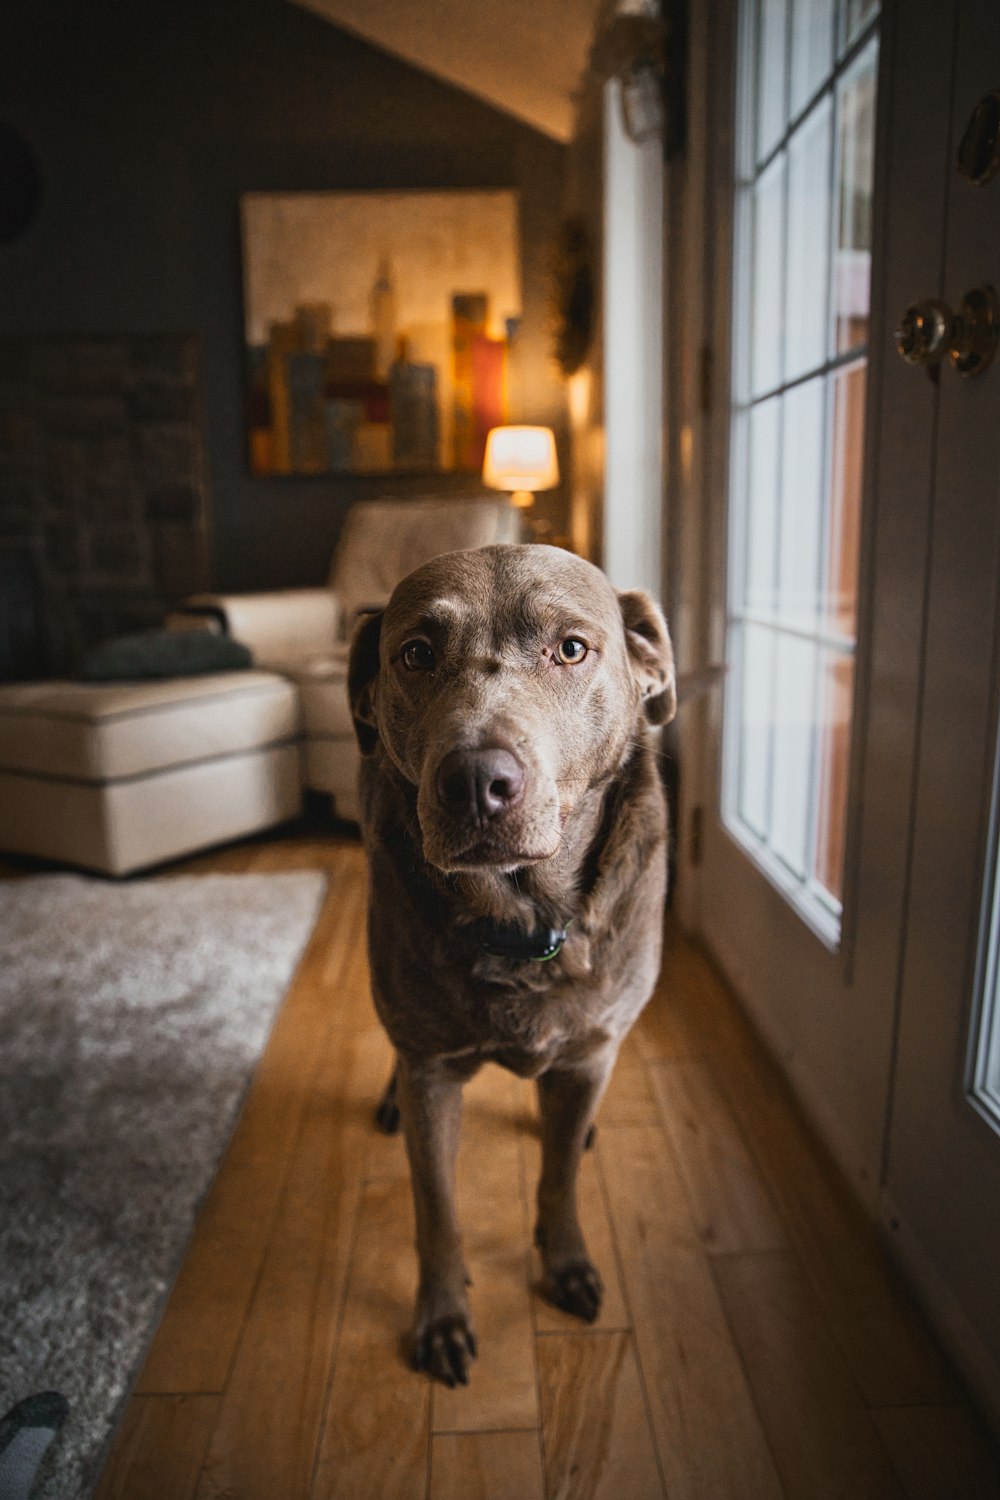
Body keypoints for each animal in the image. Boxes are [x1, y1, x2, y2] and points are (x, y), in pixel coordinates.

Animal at [347, 540, 677, 1380]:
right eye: (416, 654)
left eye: (571, 649)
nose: (474, 782)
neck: (523, 921)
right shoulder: (434, 1070)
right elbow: (436, 1207)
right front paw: (441, 1315)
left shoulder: (591, 1052)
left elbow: (559, 1179)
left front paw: (566, 1262)